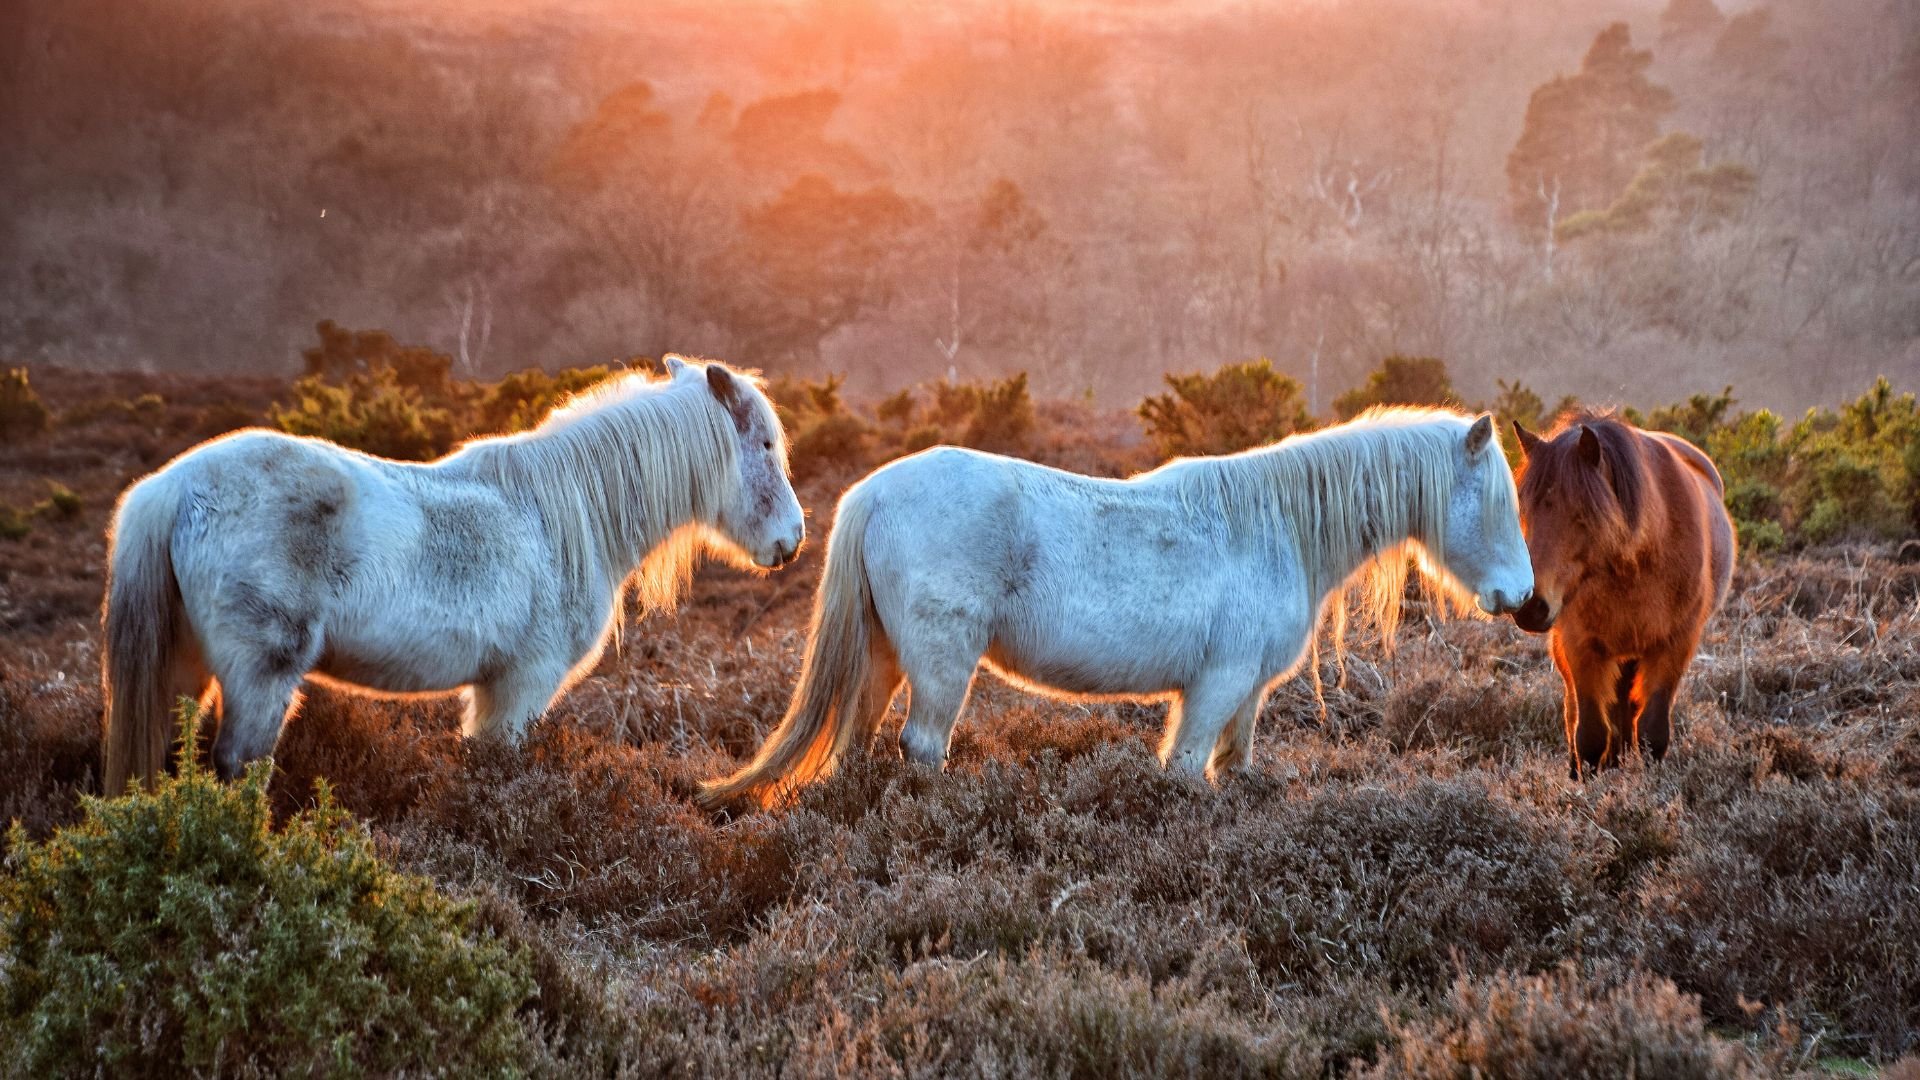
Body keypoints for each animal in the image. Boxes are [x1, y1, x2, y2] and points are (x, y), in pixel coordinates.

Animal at [102, 356, 804, 794]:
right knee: (238, 767)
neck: (563, 516)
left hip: (186, 668)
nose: (791, 541)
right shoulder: (521, 686)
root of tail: (173, 488)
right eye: (767, 446)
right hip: (259, 677)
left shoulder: (496, 688)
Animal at [699, 407, 1535, 811]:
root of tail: (870, 493)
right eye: (1499, 501)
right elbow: (1186, 767)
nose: (1525, 601)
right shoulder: (1216, 685)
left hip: (880, 657)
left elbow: (1232, 764)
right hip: (940, 668)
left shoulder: (1245, 694)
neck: (1275, 526)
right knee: (924, 746)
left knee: (860, 740)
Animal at [1508, 413, 1734, 778]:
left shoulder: (1674, 644)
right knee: (1581, 711)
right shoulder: (1581, 646)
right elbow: (1589, 733)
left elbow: (1653, 730)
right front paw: (1587, 779)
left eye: (1582, 514)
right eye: (1524, 512)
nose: (1530, 607)